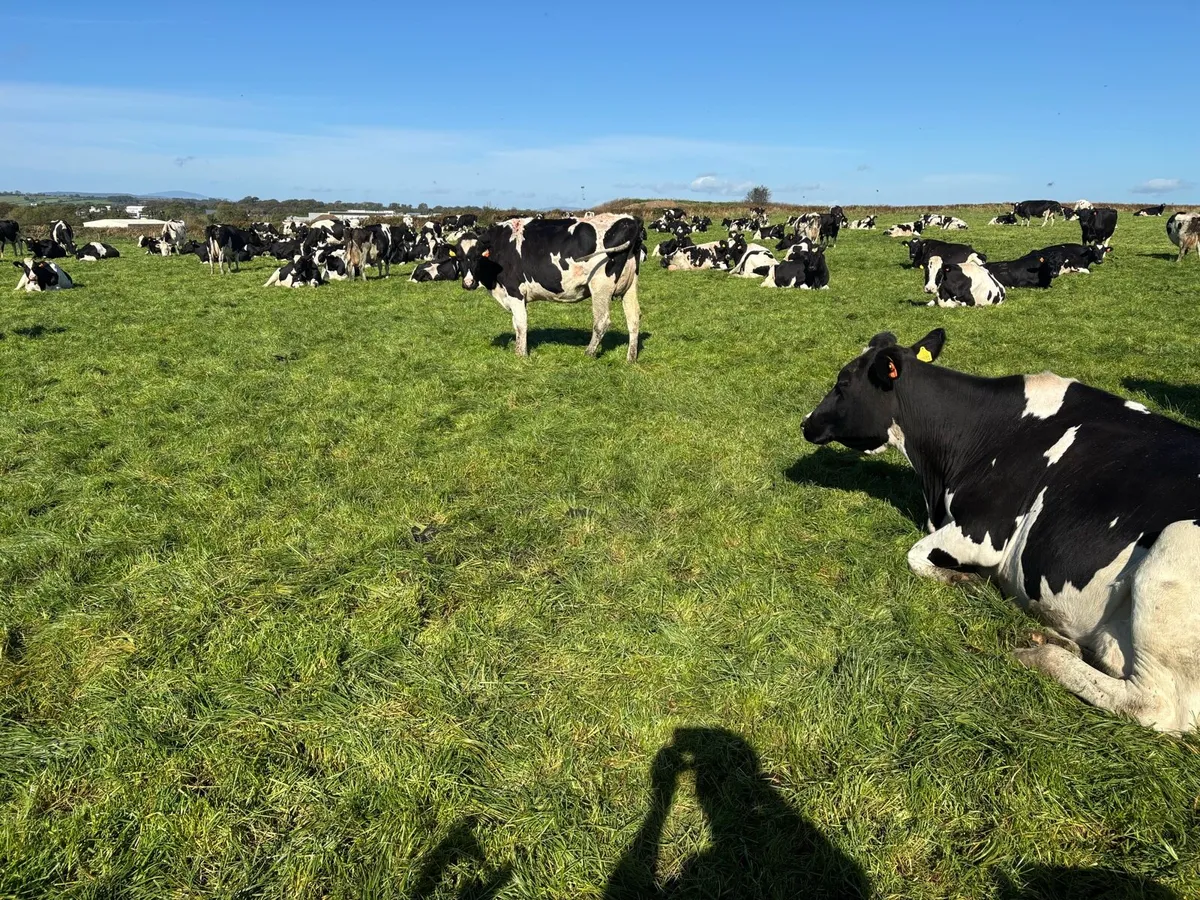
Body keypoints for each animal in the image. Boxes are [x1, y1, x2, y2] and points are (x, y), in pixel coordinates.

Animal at [460, 214, 642, 361]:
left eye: (477, 257)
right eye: (459, 258)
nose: (468, 283)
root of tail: (629, 220)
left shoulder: (514, 290)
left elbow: (521, 323)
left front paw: (520, 355)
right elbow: (517, 323)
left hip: (600, 286)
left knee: (601, 321)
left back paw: (588, 353)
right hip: (630, 286)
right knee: (633, 318)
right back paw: (631, 358)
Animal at [802, 328, 1200, 733]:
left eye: (843, 383)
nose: (805, 422)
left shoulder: (983, 533)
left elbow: (914, 554)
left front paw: (968, 581)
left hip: (1174, 553)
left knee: (1152, 706)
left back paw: (1040, 654)